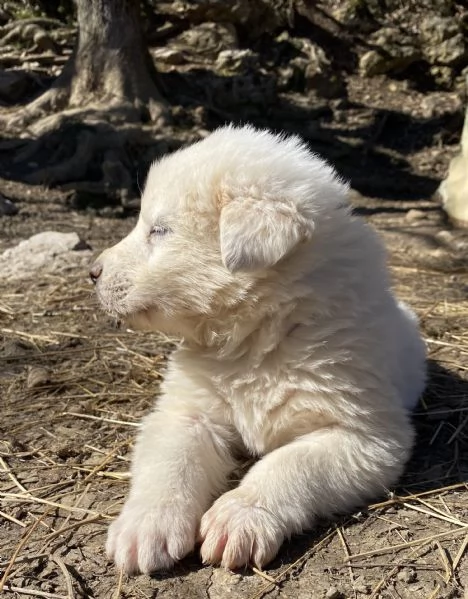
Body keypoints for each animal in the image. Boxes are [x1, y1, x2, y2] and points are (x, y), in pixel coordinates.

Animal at [91, 126, 428, 576]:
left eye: (159, 230)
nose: (93, 271)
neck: (254, 340)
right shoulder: (187, 412)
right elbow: (171, 460)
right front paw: (145, 527)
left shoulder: (364, 434)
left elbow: (288, 465)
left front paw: (238, 517)